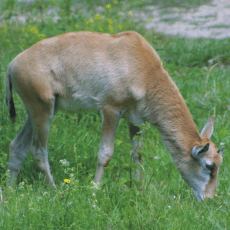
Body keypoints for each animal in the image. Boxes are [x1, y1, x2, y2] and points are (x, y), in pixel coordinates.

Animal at [5, 30, 223, 199]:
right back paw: (55, 191)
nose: (209, 198)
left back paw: (9, 190)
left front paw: (139, 189)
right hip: (43, 113)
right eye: (209, 165)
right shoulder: (110, 110)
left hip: (39, 113)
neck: (142, 66)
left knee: (17, 146)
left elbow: (137, 154)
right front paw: (94, 190)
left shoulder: (135, 120)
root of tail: (13, 64)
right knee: (38, 151)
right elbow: (105, 153)